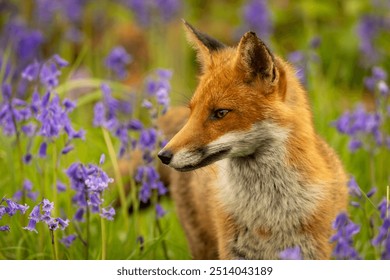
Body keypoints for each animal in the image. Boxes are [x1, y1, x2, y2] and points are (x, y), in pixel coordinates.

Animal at [157, 21, 348, 260]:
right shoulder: (234, 253)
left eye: (220, 113)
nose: (163, 155)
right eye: (192, 111)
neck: (269, 216)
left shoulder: (315, 249)